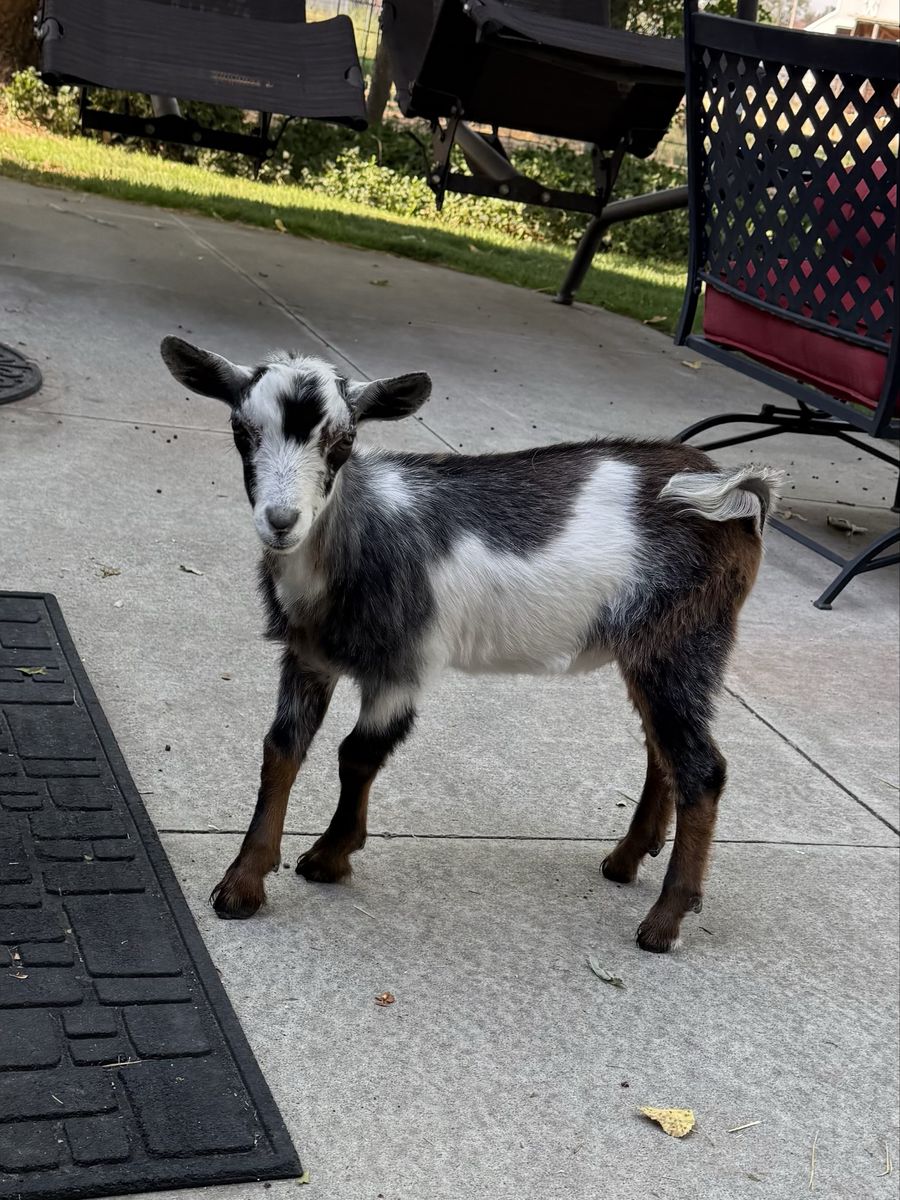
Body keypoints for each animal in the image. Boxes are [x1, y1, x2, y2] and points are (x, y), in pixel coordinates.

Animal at [160, 336, 780, 953]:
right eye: (242, 430)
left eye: (344, 440)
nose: (282, 521)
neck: (350, 542)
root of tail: (740, 497)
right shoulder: (309, 657)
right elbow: (281, 751)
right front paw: (242, 884)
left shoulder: (402, 666)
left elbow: (357, 754)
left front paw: (329, 858)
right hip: (649, 647)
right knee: (661, 750)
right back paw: (625, 861)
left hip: (686, 639)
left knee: (702, 768)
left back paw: (664, 921)